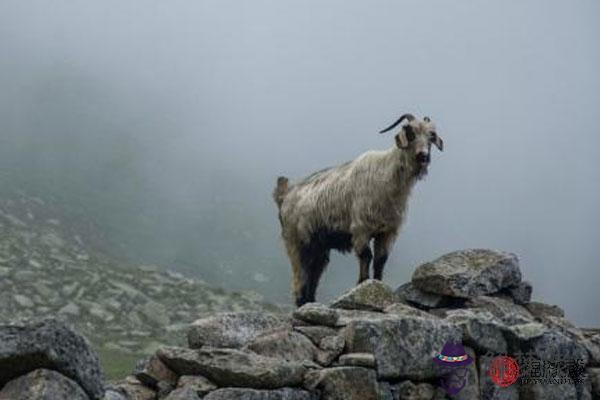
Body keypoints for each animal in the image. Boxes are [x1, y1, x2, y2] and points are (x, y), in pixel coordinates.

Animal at [274, 112, 442, 306]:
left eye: (431, 136)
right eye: (410, 133)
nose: (423, 156)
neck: (387, 176)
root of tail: (284, 194)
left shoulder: (388, 231)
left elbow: (380, 260)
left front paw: (378, 286)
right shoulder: (361, 229)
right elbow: (366, 256)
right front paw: (362, 285)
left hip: (319, 246)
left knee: (314, 272)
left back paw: (310, 301)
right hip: (295, 241)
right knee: (299, 274)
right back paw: (302, 301)